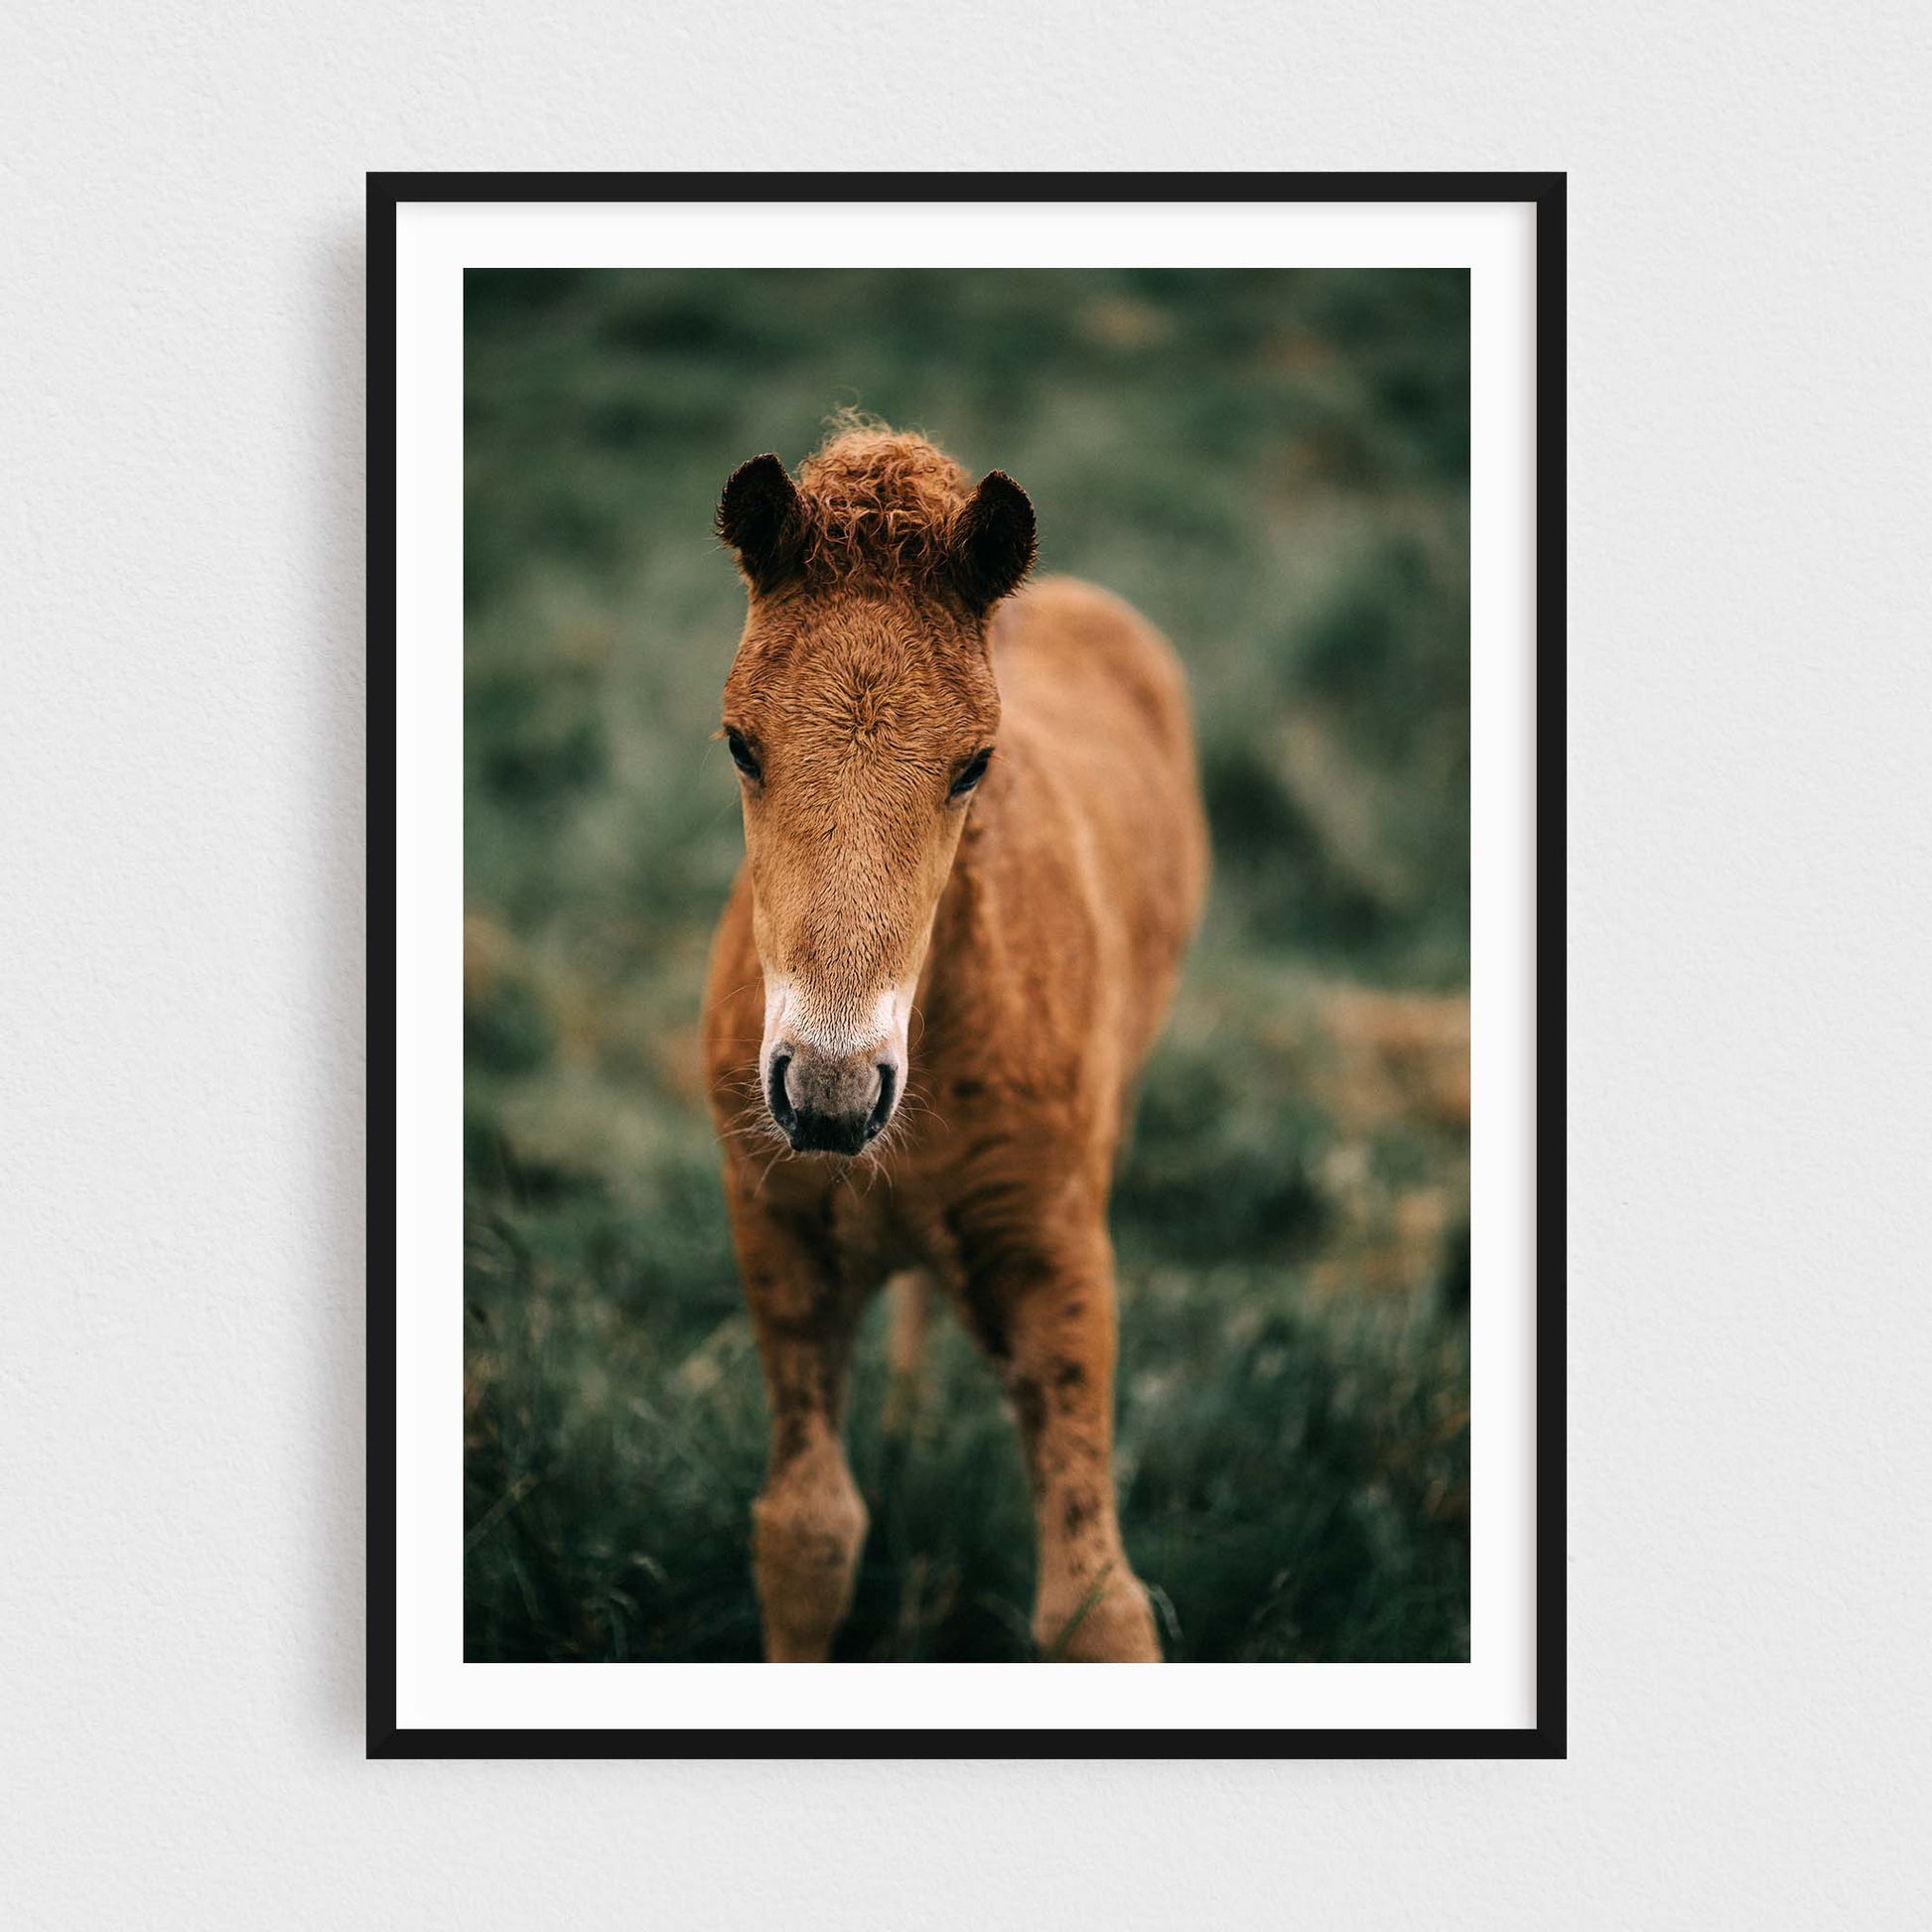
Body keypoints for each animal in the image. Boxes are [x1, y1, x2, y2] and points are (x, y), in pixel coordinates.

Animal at [702, 422, 1209, 1661]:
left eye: (973, 762)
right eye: (739, 743)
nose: (828, 1096)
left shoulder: (1054, 1254)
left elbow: (1094, 1603)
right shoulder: (777, 1227)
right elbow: (807, 1532)